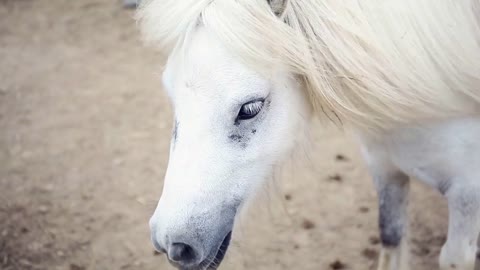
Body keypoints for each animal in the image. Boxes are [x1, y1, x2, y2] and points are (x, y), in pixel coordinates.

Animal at [135, 0, 480, 270]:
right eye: (170, 93)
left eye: (250, 108)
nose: (172, 243)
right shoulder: (386, 169)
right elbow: (390, 236)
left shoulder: (467, 191)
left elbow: (453, 258)